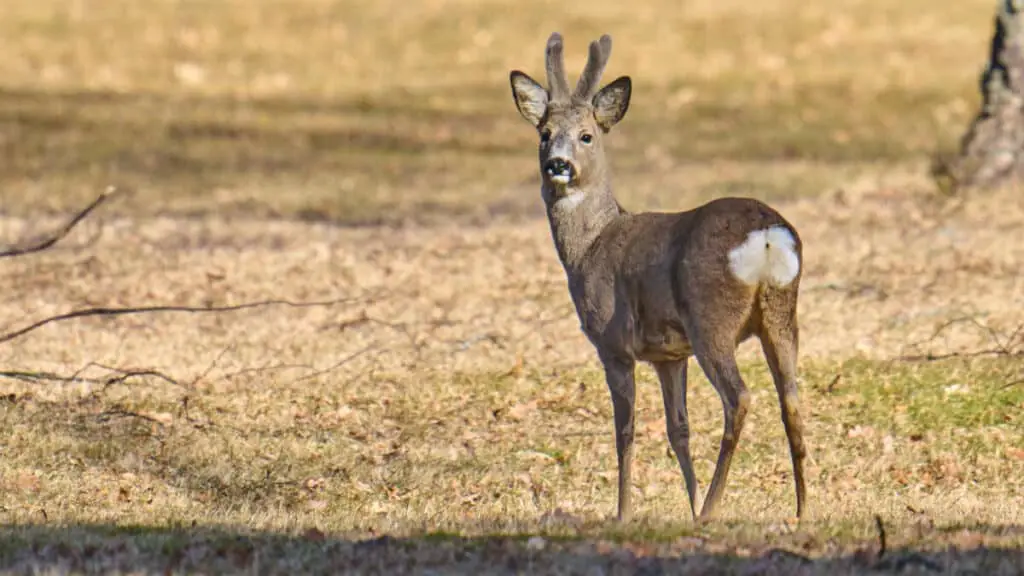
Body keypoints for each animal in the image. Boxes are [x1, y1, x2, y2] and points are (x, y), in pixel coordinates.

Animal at [507, 33, 802, 522]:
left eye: (587, 135)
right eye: (544, 133)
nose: (558, 165)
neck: (591, 245)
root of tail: (766, 236)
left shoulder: (612, 343)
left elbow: (624, 430)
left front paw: (624, 513)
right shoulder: (669, 355)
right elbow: (677, 428)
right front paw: (688, 505)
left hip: (711, 319)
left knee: (739, 398)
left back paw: (713, 509)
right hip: (781, 313)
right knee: (791, 397)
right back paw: (800, 511)